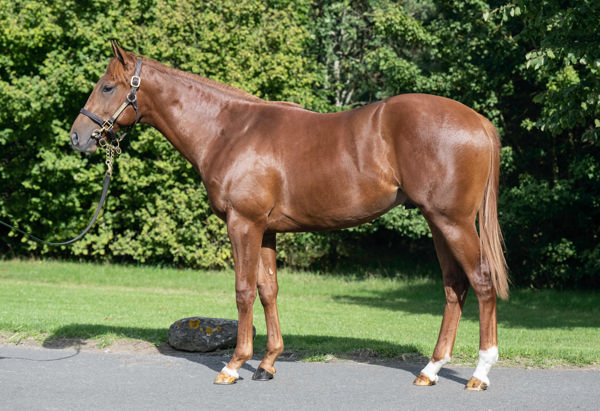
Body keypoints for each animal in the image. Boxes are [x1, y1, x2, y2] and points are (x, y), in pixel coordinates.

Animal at [72, 42, 508, 392]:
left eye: (107, 86)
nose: (77, 138)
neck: (229, 130)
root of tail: (479, 122)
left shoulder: (243, 224)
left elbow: (244, 291)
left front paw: (233, 366)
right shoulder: (266, 231)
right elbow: (268, 290)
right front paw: (266, 364)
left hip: (452, 222)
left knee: (481, 282)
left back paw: (480, 373)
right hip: (438, 223)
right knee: (455, 287)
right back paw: (430, 370)